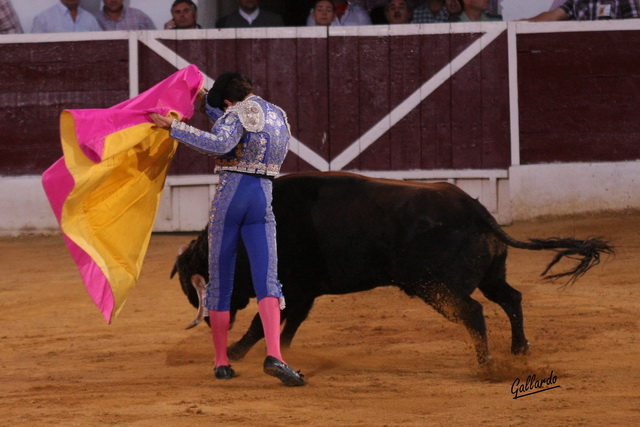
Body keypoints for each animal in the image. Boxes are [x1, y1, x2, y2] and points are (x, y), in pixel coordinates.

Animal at [171, 171, 616, 364]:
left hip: (434, 284)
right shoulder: (302, 294)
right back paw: (518, 349)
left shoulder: (291, 288)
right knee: (510, 298)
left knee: (473, 311)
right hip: (489, 275)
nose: (209, 320)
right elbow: (285, 325)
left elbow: (262, 324)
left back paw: (486, 363)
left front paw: (234, 351)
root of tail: (475, 210)